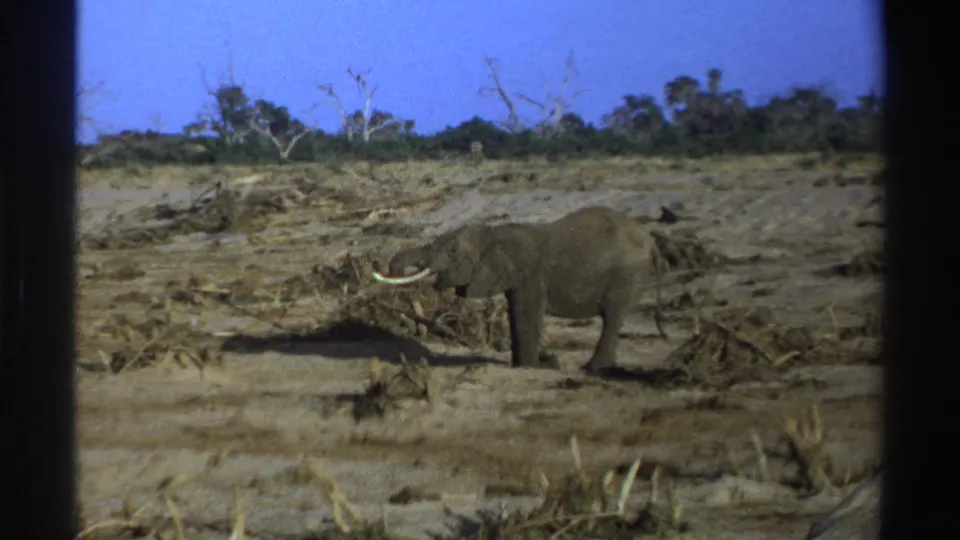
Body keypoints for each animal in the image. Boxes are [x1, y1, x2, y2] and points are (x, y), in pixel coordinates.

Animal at [371, 205, 668, 373]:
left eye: (453, 251)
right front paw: (536, 363)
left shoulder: (531, 275)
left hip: (626, 274)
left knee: (613, 316)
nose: (385, 266)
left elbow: (527, 313)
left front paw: (537, 365)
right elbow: (516, 313)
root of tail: (650, 241)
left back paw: (593, 369)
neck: (491, 234)